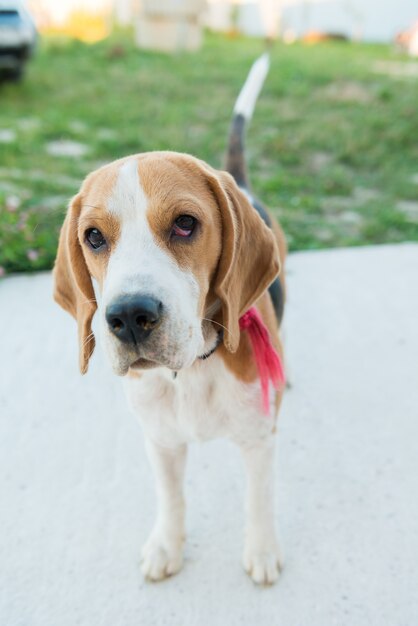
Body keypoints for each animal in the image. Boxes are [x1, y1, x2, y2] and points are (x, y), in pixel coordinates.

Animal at [53, 54, 288, 584]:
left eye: (185, 224)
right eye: (93, 237)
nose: (129, 316)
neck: (193, 370)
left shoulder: (260, 442)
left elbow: (260, 500)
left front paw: (262, 550)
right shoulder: (160, 441)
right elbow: (171, 497)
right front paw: (167, 545)